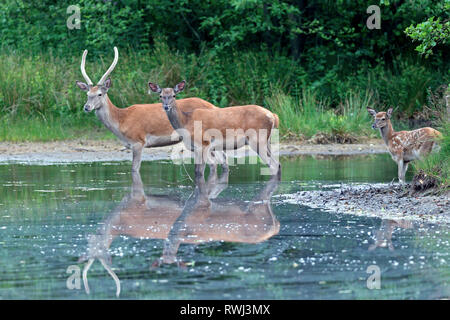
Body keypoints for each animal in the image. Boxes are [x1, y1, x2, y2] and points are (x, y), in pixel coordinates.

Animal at [75, 46, 227, 174]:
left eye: (100, 94)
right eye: (87, 94)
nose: (87, 107)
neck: (121, 121)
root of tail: (214, 106)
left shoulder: (138, 141)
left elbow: (134, 169)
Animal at [149, 80, 280, 179]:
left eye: (174, 95)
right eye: (160, 96)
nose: (166, 106)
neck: (186, 122)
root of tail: (273, 116)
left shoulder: (203, 143)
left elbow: (199, 172)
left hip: (257, 140)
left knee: (273, 165)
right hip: (267, 141)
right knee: (278, 164)